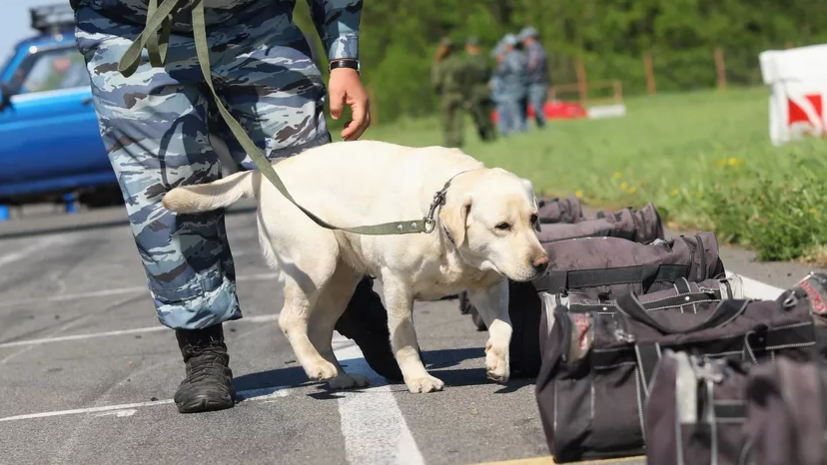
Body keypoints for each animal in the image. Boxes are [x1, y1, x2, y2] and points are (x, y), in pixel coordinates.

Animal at [162, 139, 548, 392]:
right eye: (502, 226)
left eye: (534, 219)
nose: (542, 263)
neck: (437, 220)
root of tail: (267, 173)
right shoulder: (397, 285)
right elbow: (404, 338)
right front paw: (418, 378)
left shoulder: (491, 286)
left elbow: (504, 326)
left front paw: (497, 362)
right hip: (314, 264)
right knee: (290, 320)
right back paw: (318, 368)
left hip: (340, 281)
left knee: (318, 328)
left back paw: (340, 376)